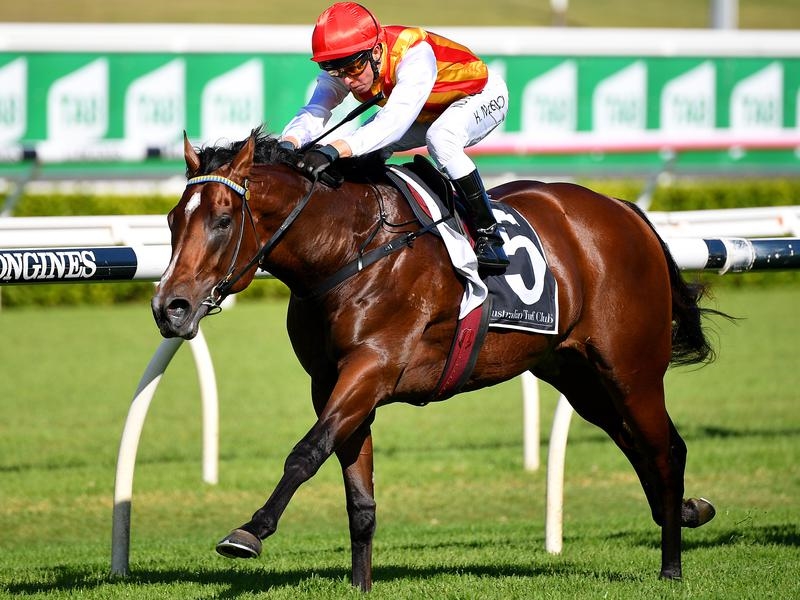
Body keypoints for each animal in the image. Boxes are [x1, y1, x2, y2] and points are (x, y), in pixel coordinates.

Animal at [152, 129, 720, 591]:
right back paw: (687, 510)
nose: (169, 307)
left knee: (664, 449)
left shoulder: (373, 367)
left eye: (223, 220)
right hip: (578, 374)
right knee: (637, 443)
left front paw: (250, 531)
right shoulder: (333, 381)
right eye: (173, 219)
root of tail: (625, 211)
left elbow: (307, 452)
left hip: (630, 368)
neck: (348, 248)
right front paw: (360, 584)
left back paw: (672, 566)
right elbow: (358, 494)